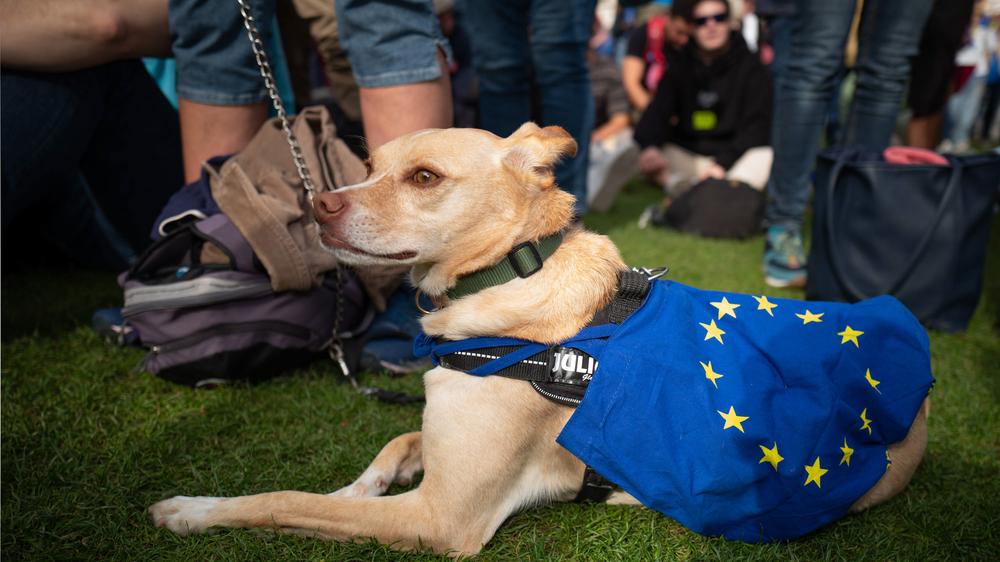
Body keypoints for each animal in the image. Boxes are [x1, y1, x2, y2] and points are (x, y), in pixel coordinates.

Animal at [152, 121, 932, 552]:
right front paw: (358, 485)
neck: (503, 277)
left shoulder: (441, 518)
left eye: (424, 177)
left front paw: (193, 510)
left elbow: (286, 501)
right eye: (368, 167)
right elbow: (392, 446)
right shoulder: (439, 436)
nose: (319, 205)